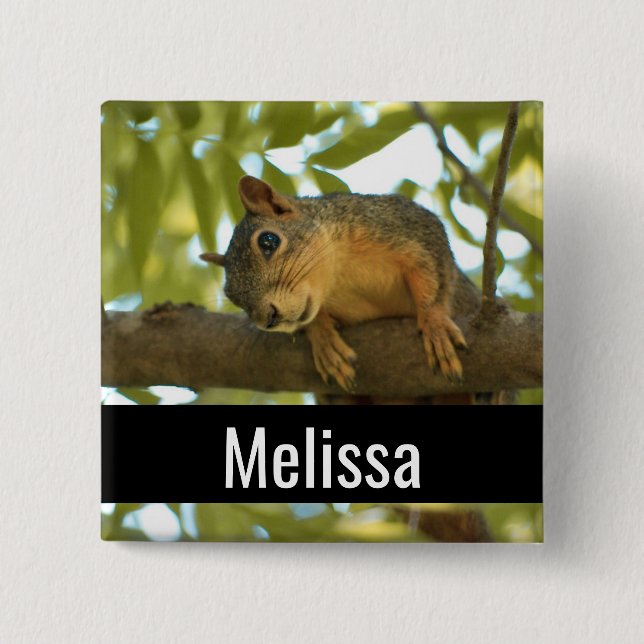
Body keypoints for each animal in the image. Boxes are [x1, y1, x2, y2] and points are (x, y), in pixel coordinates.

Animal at [201, 175, 485, 395]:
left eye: (268, 241)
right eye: (231, 295)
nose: (268, 319)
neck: (337, 278)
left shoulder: (409, 227)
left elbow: (434, 275)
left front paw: (435, 324)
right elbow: (313, 321)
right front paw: (323, 338)